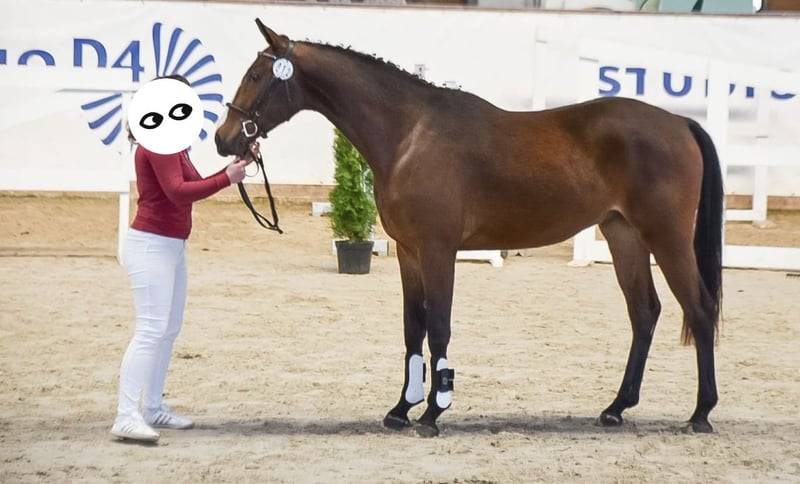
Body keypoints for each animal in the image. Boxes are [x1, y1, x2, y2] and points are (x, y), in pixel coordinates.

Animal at [215, 19, 723, 437]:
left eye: (257, 76)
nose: (224, 139)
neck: (410, 134)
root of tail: (679, 122)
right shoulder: (409, 252)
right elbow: (413, 328)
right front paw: (401, 409)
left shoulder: (438, 250)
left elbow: (439, 326)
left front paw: (432, 413)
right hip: (624, 236)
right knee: (645, 312)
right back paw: (616, 408)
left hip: (667, 238)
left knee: (699, 309)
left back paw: (700, 414)